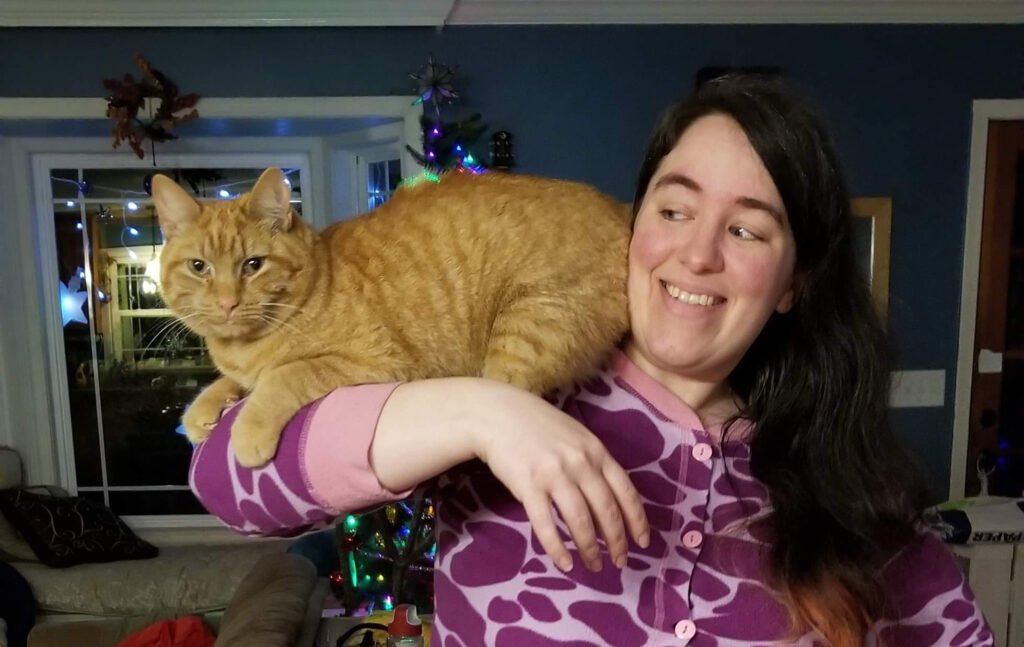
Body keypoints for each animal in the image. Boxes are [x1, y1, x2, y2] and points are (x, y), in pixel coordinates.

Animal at [154, 168, 626, 466]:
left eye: (253, 265)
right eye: (199, 267)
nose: (227, 303)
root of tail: (618, 210)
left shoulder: (373, 361)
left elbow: (283, 376)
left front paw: (248, 429)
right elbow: (232, 382)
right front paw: (203, 409)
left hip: (523, 333)